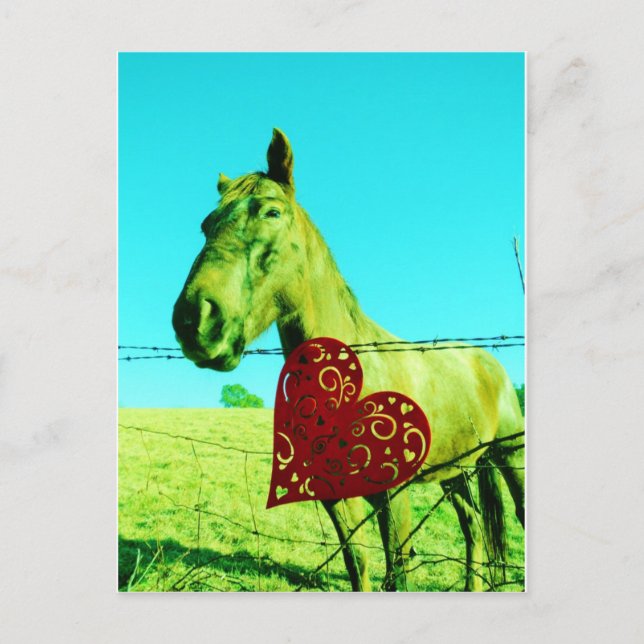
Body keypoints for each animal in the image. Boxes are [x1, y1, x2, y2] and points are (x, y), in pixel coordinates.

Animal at [172, 128, 525, 591]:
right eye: (206, 225)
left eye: (271, 211)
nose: (194, 319)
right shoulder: (335, 497)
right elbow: (357, 561)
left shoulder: (394, 496)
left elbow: (398, 570)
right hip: (456, 472)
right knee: (473, 527)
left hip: (510, 457)